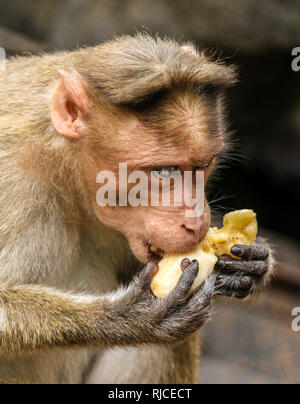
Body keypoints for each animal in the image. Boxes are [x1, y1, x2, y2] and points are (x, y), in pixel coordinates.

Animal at [0, 34, 274, 382]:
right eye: (164, 171)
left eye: (203, 165)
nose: (198, 222)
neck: (64, 165)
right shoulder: (11, 182)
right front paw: (125, 318)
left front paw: (254, 263)